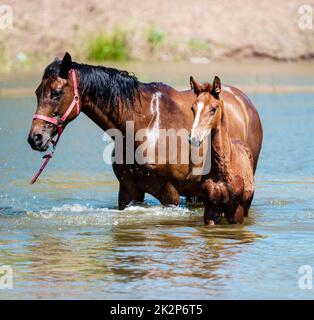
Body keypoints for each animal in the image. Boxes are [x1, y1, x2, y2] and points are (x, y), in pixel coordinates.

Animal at [27, 52, 262, 212]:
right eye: (38, 92)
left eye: (57, 92)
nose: (35, 138)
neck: (143, 125)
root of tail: (244, 102)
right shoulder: (129, 191)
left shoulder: (169, 194)